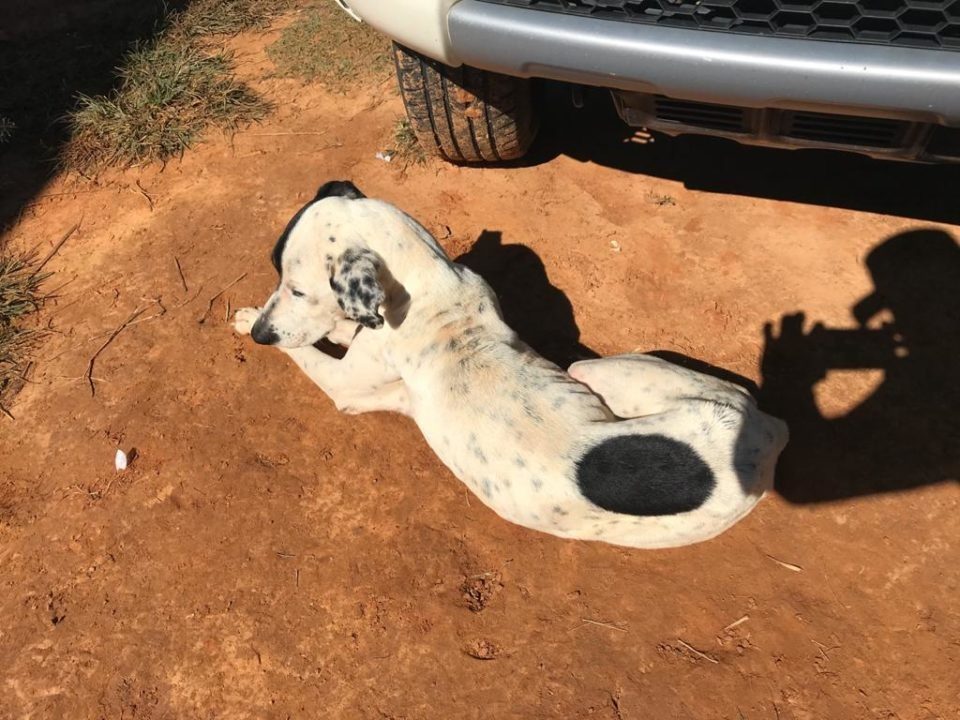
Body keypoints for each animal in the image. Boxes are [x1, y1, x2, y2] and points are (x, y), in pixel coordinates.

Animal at [232, 183, 788, 548]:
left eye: (298, 289)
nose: (260, 333)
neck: (433, 289)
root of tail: (764, 438)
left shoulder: (346, 386)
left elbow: (305, 349)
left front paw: (252, 322)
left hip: (593, 369)